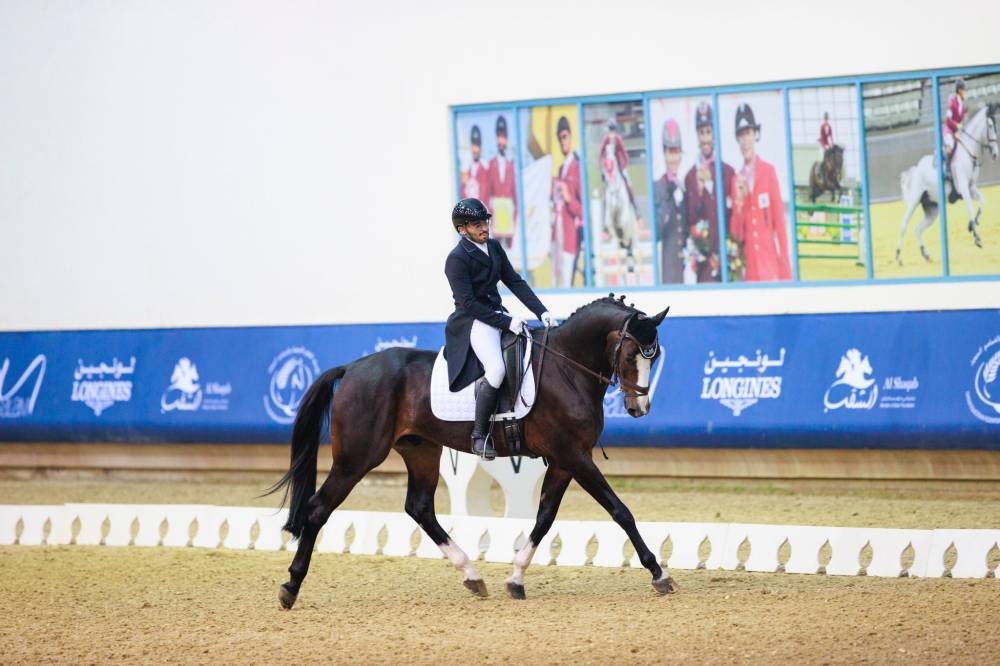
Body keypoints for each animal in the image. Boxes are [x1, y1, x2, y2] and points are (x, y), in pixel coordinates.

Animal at [266, 294, 676, 604]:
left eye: (654, 357)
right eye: (631, 356)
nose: (639, 408)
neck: (566, 369)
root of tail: (352, 367)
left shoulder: (564, 461)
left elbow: (544, 519)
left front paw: (515, 578)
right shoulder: (575, 456)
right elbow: (620, 511)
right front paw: (659, 574)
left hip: (421, 450)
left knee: (419, 507)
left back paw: (472, 575)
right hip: (357, 458)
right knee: (317, 509)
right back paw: (290, 586)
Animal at [600, 141, 640, 282]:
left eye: (614, 156)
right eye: (604, 156)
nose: (603, 177)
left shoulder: (625, 216)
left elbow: (622, 222)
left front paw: (620, 231)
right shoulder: (609, 218)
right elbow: (611, 224)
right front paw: (616, 232)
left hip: (635, 241)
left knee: (634, 264)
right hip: (621, 250)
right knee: (622, 267)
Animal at [944, 102, 1000, 248]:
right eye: (990, 126)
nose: (995, 154)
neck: (969, 153)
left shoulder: (971, 188)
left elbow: (982, 201)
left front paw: (972, 226)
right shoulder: (963, 189)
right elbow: (970, 208)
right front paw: (977, 237)